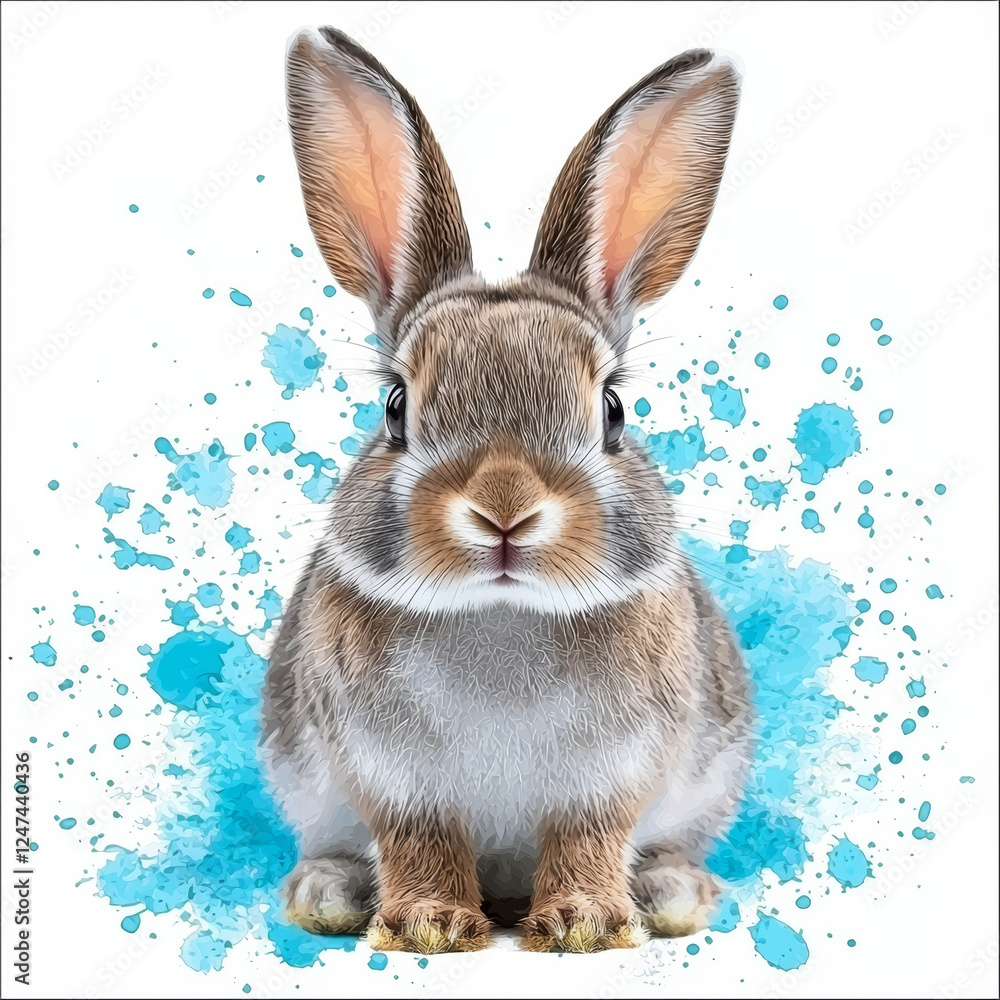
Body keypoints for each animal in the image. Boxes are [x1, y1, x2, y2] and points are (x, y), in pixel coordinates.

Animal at [263, 25, 753, 955]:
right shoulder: (393, 773)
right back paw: (330, 894)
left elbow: (588, 833)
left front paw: (583, 924)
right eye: (394, 407)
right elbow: (418, 837)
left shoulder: (612, 772)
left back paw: (671, 893)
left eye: (613, 409)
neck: (501, 613)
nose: (504, 511)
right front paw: (428, 924)